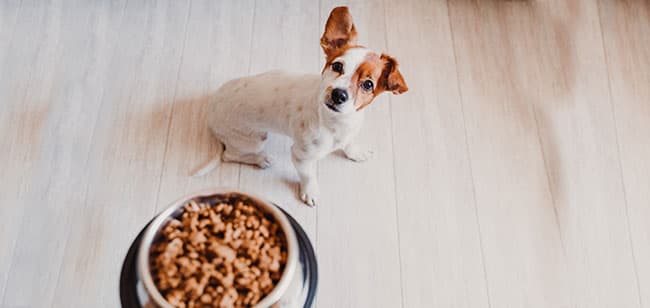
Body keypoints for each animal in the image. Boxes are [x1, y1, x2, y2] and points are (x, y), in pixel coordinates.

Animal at [195, 6, 404, 206]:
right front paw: (310, 192)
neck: (336, 123)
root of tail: (211, 109)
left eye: (368, 84)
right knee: (229, 155)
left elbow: (349, 143)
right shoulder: (301, 156)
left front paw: (355, 152)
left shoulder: (349, 133)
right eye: (337, 66)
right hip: (252, 140)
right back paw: (260, 159)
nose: (338, 94)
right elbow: (308, 175)